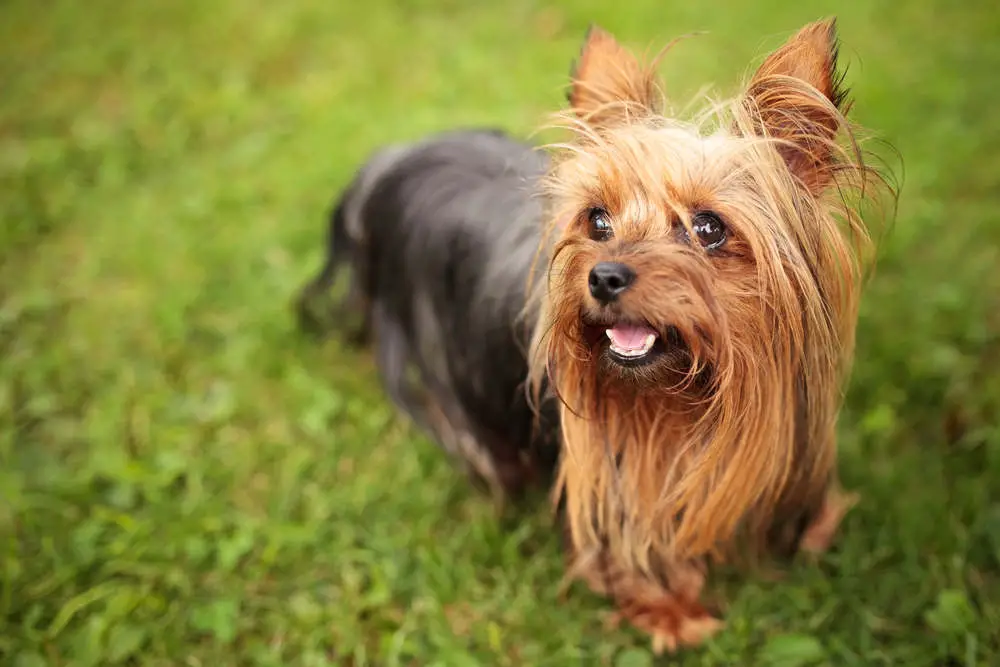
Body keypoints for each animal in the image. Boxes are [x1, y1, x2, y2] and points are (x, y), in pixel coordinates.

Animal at [296, 18, 892, 656]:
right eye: (598, 220)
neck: (677, 405)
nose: (603, 276)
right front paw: (671, 612)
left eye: (708, 227)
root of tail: (394, 159)